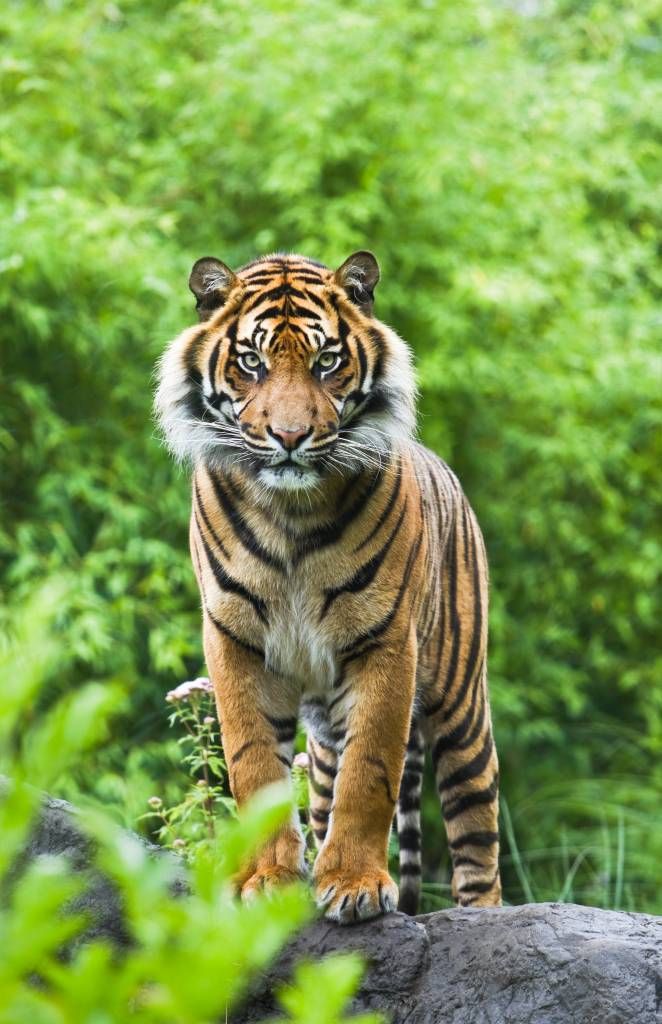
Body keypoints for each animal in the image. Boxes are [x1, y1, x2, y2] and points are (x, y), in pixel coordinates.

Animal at [155, 245, 504, 921]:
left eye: (327, 361)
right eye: (252, 362)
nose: (290, 438)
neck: (290, 512)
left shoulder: (385, 643)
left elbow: (370, 773)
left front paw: (355, 884)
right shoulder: (234, 641)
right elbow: (254, 768)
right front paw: (268, 881)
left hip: (463, 711)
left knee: (478, 843)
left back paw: (485, 919)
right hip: (320, 743)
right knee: (321, 797)